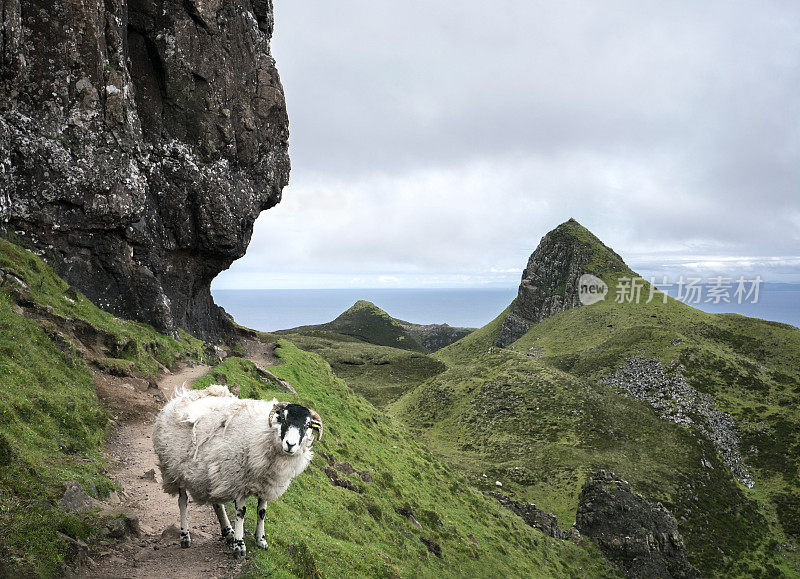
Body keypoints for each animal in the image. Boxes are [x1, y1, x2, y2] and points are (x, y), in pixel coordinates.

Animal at [153, 386, 322, 556]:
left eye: (307, 425)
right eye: (283, 418)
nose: (290, 444)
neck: (263, 435)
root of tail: (180, 396)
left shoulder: (266, 484)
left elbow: (262, 512)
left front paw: (260, 540)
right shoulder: (239, 480)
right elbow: (241, 512)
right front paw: (239, 545)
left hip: (212, 471)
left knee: (217, 503)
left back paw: (228, 531)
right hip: (174, 470)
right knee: (183, 501)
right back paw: (185, 536)